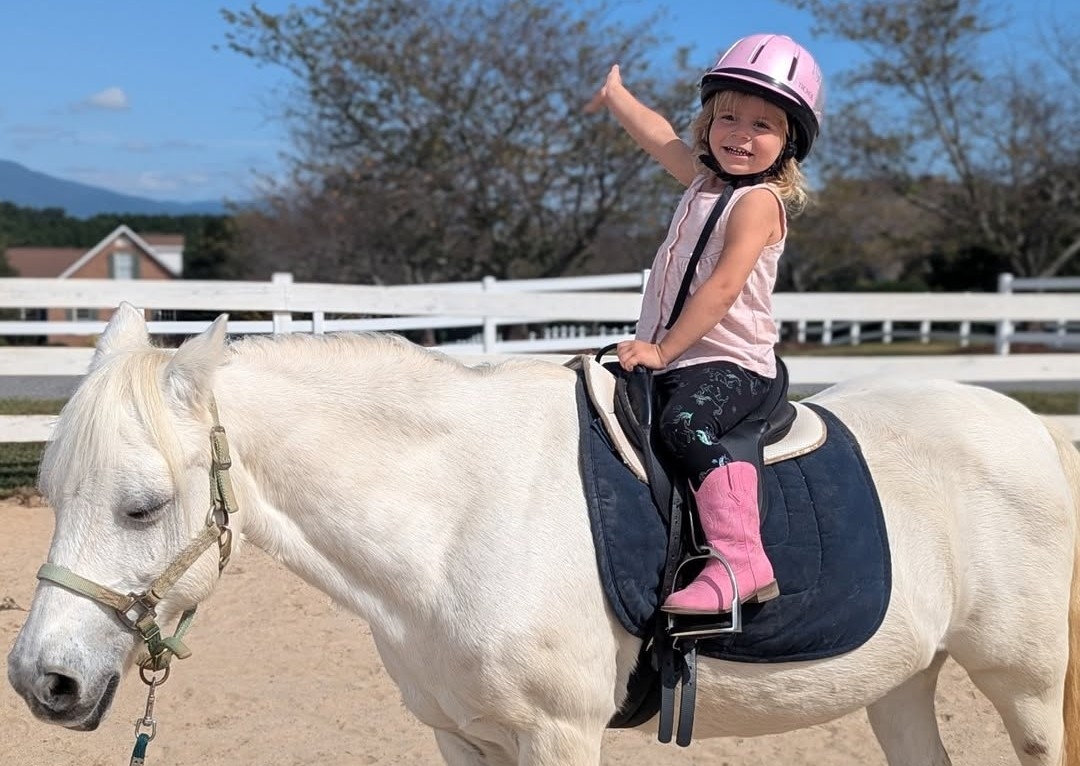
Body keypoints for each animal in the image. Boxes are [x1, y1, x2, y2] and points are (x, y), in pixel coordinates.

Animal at [7, 302, 1080, 766]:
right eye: (55, 495)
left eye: (143, 507)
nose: (42, 682)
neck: (455, 517)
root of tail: (1030, 426)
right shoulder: (462, 739)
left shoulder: (556, 738)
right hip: (900, 679)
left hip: (1022, 684)